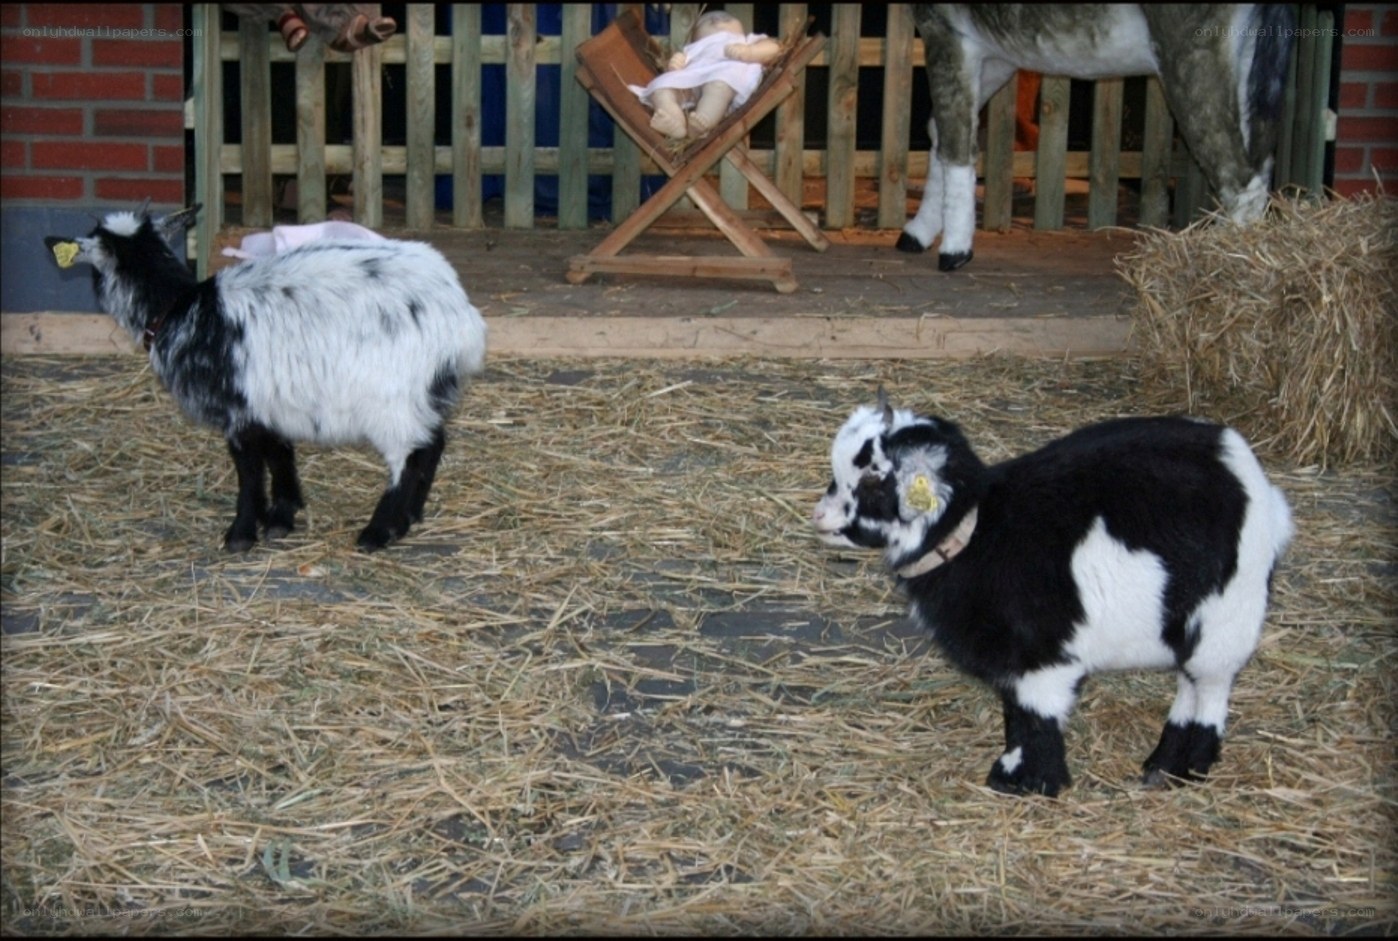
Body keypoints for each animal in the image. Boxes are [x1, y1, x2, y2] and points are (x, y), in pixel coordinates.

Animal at [46, 203, 487, 553]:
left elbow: (249, 471)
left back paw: (379, 530)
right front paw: (281, 517)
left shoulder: (237, 408)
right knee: (433, 443)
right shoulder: (269, 399)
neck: (175, 309)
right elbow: (279, 453)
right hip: (426, 391)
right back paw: (410, 517)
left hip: (391, 397)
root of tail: (458, 316)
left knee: (408, 456)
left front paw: (241, 533)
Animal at [813, 397, 1293, 796]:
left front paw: (1031, 782)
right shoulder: (1014, 663)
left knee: (1211, 686)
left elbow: (1036, 717)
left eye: (873, 481)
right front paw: (1014, 770)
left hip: (1227, 612)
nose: (819, 516)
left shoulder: (1043, 659)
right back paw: (1162, 761)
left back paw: (1188, 764)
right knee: (1188, 682)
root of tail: (1238, 460)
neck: (977, 537)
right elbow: (1014, 715)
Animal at [898, 3, 1295, 271]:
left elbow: (955, 141)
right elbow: (941, 132)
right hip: (1248, 65)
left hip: (1193, 56)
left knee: (1238, 177)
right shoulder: (994, 55)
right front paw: (918, 232)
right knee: (1258, 164)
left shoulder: (945, 31)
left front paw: (954, 250)